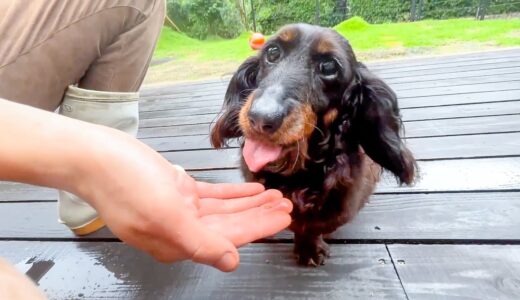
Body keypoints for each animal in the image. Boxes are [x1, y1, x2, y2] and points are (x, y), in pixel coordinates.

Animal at [209, 24, 416, 266]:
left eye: (329, 66)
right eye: (272, 52)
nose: (260, 119)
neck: (295, 170)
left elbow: (311, 225)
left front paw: (309, 247)